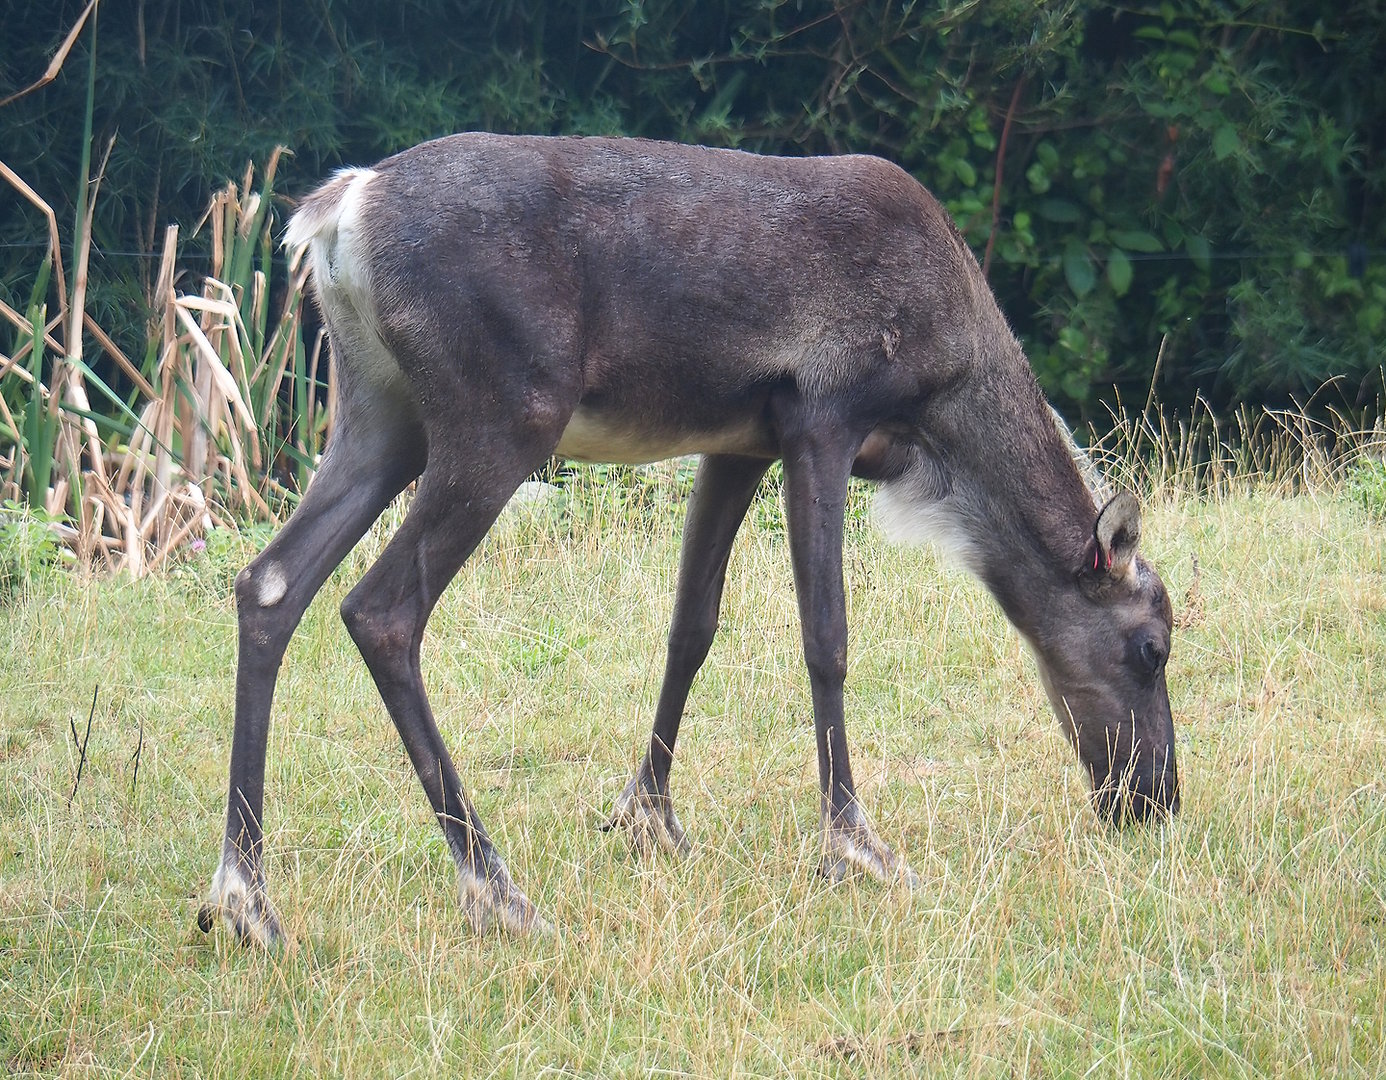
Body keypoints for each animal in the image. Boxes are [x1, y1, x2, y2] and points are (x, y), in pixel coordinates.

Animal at [198, 132, 1179, 946]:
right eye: (1152, 647)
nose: (1158, 797)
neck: (942, 414)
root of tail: (338, 212)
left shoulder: (736, 440)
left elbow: (691, 626)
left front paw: (649, 817)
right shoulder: (822, 415)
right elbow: (826, 637)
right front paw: (855, 844)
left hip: (382, 411)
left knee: (269, 583)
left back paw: (246, 899)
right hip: (503, 413)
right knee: (381, 609)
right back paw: (496, 889)